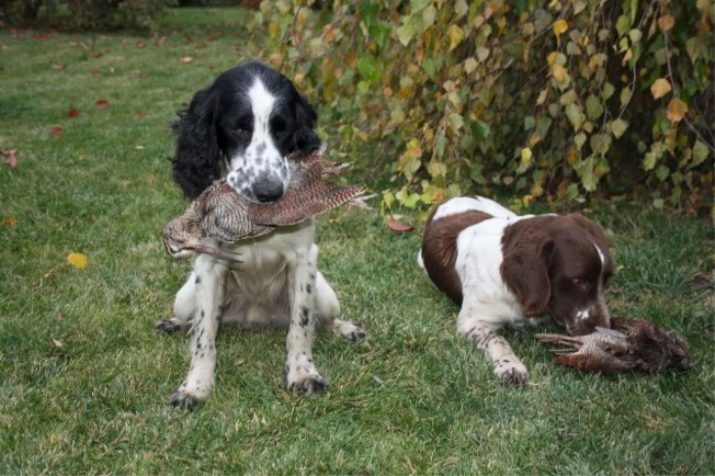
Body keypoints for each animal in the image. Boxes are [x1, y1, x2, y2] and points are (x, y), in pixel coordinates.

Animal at [159, 60, 366, 410]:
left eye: (282, 128)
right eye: (238, 128)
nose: (269, 193)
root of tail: (254, 319)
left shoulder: (303, 258)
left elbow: (301, 325)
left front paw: (302, 373)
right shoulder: (209, 265)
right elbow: (204, 336)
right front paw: (195, 386)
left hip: (326, 295)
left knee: (321, 321)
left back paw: (346, 328)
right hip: (184, 298)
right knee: (194, 322)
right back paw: (173, 325)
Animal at [420, 195, 616, 384]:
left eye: (606, 279)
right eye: (579, 281)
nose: (604, 329)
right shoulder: (471, 321)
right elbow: (497, 339)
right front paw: (510, 366)